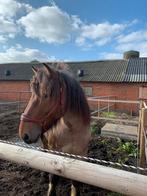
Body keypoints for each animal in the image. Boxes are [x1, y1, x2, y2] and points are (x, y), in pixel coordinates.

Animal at [18, 63, 90, 195]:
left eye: (46, 94)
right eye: (32, 93)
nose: (24, 134)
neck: (72, 131)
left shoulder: (81, 155)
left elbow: (75, 183)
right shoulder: (55, 153)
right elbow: (53, 179)